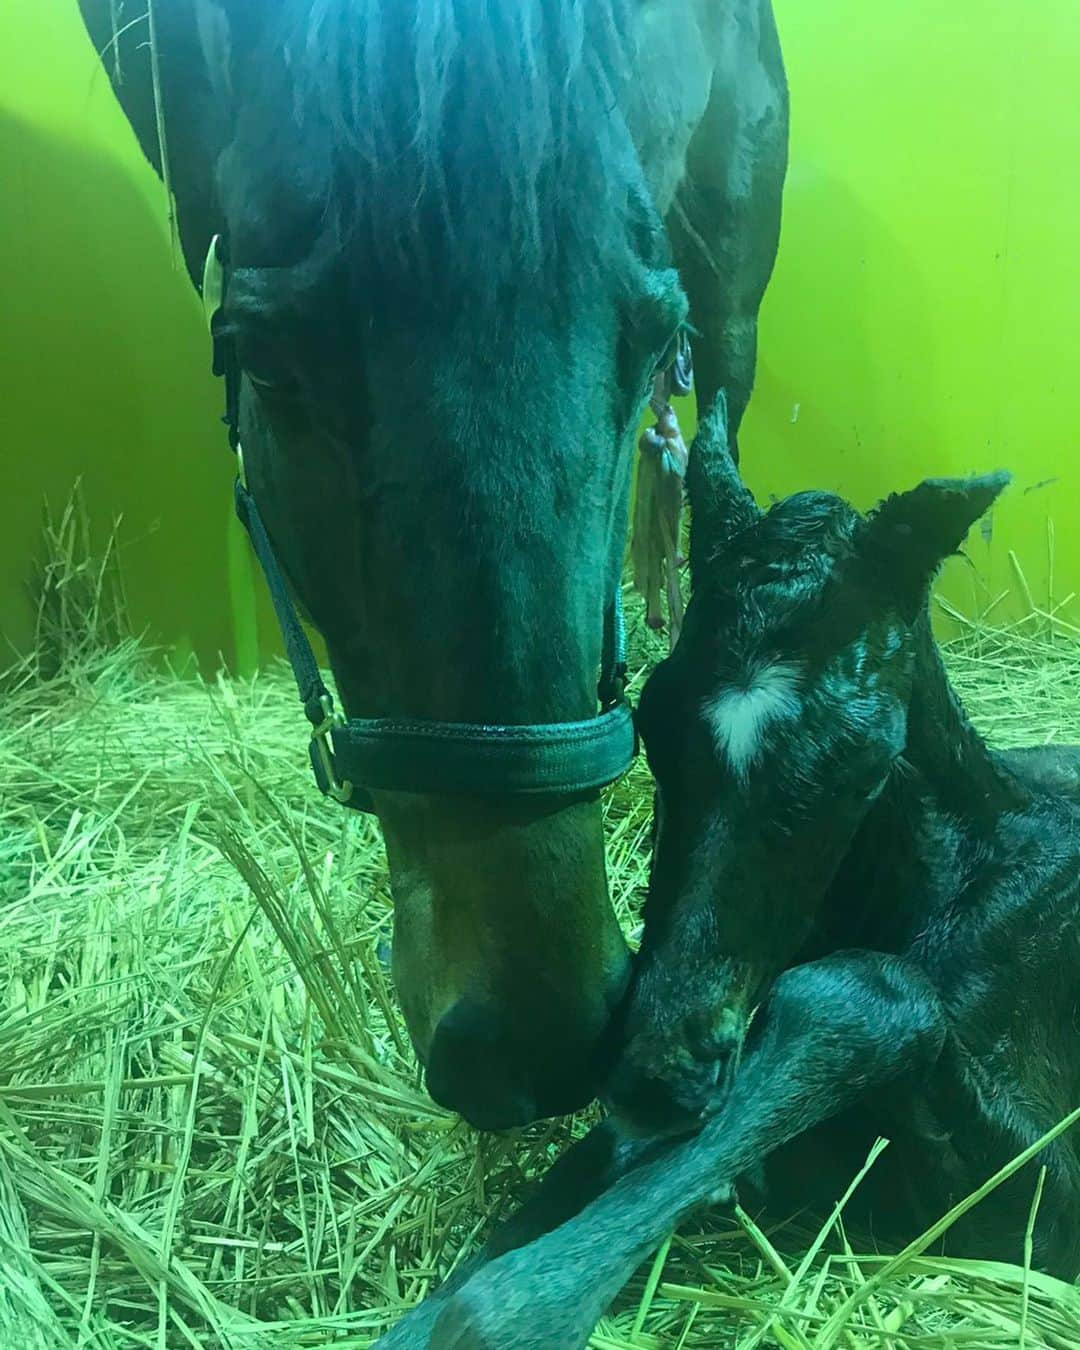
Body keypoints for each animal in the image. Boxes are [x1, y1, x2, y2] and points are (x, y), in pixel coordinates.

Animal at [383, 399, 1074, 1350]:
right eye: (653, 721)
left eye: (862, 760)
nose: (656, 1070)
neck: (955, 877)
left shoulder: (1047, 1191)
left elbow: (862, 997)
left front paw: (510, 1310)